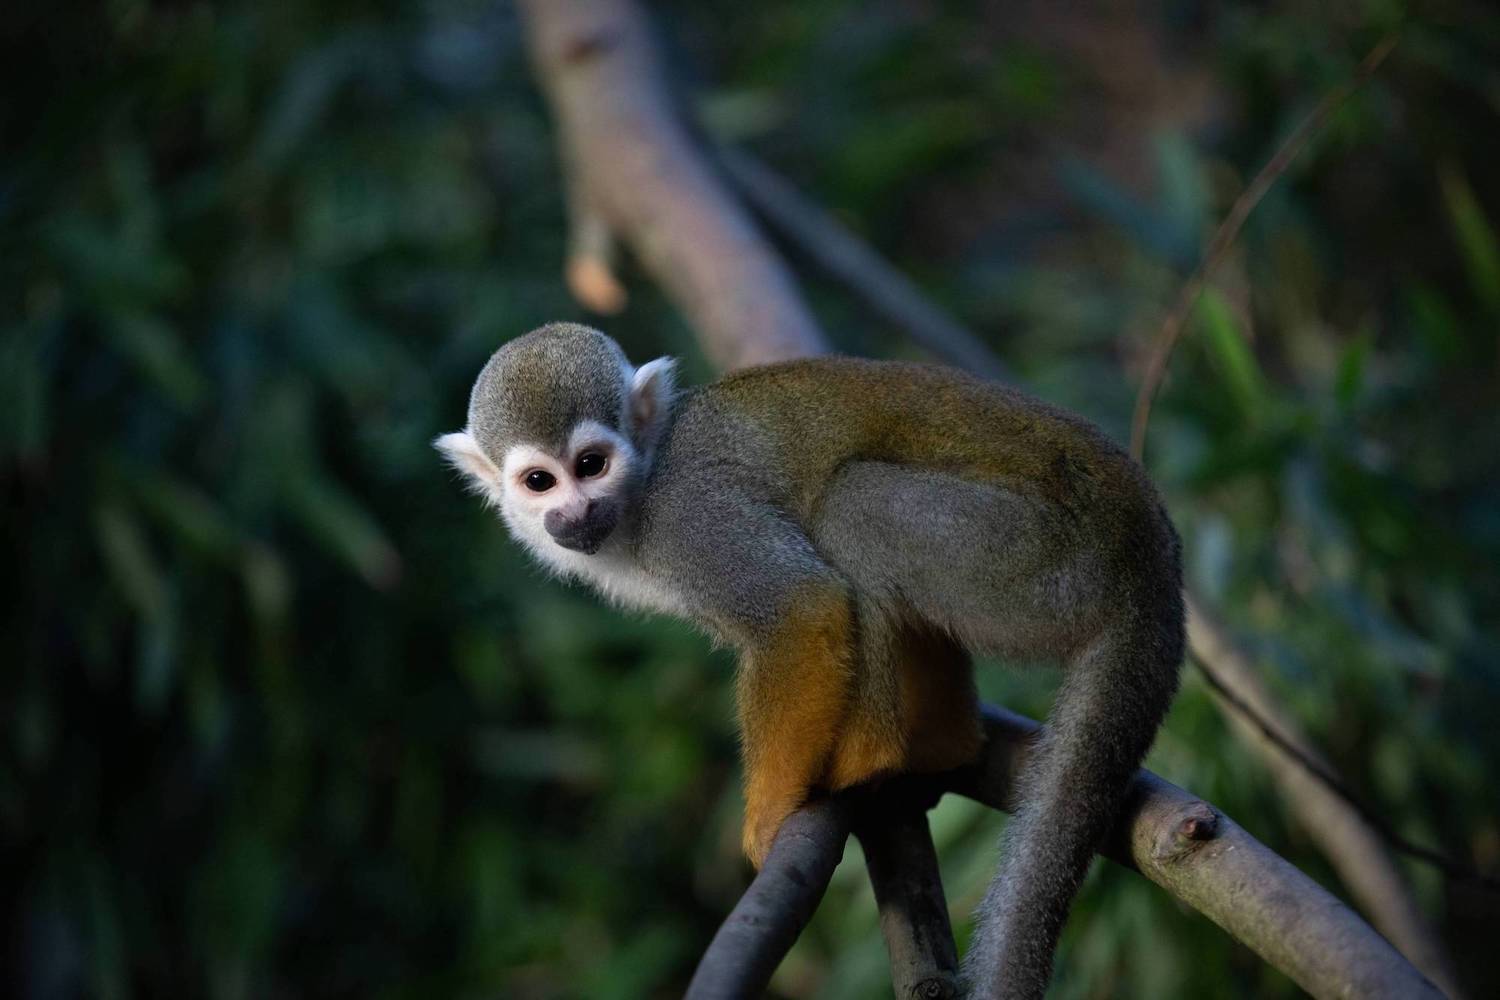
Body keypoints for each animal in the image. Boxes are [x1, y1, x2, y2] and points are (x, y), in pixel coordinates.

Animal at [435, 325, 1182, 995]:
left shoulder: (691, 518)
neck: (643, 485)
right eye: (540, 481)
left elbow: (801, 607)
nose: (576, 511)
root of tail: (1147, 542)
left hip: (1038, 563)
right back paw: (942, 740)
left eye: (590, 466)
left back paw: (876, 754)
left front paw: (769, 817)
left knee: (852, 507)